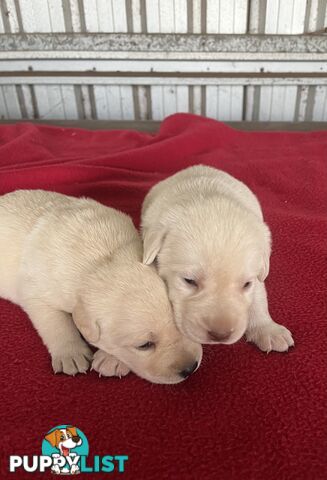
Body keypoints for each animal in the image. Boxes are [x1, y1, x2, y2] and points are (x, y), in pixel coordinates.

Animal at [0, 189, 202, 384]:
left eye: (180, 325)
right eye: (144, 345)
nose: (190, 368)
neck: (103, 258)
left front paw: (111, 360)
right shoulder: (36, 290)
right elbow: (56, 322)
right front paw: (71, 354)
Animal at [142, 165, 296, 352]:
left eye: (246, 284)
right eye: (189, 281)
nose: (220, 335)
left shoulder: (258, 273)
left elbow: (259, 298)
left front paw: (268, 329)